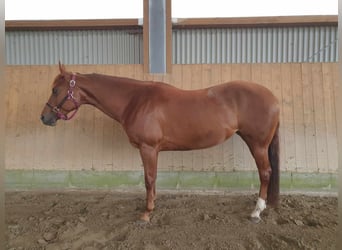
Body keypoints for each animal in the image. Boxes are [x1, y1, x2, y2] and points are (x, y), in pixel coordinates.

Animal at [40, 64, 280, 223]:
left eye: (55, 90)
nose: (44, 117)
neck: (135, 100)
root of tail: (272, 97)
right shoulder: (152, 150)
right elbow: (152, 180)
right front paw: (152, 206)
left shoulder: (148, 148)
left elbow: (149, 179)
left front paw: (146, 213)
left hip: (257, 144)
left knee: (265, 173)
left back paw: (256, 212)